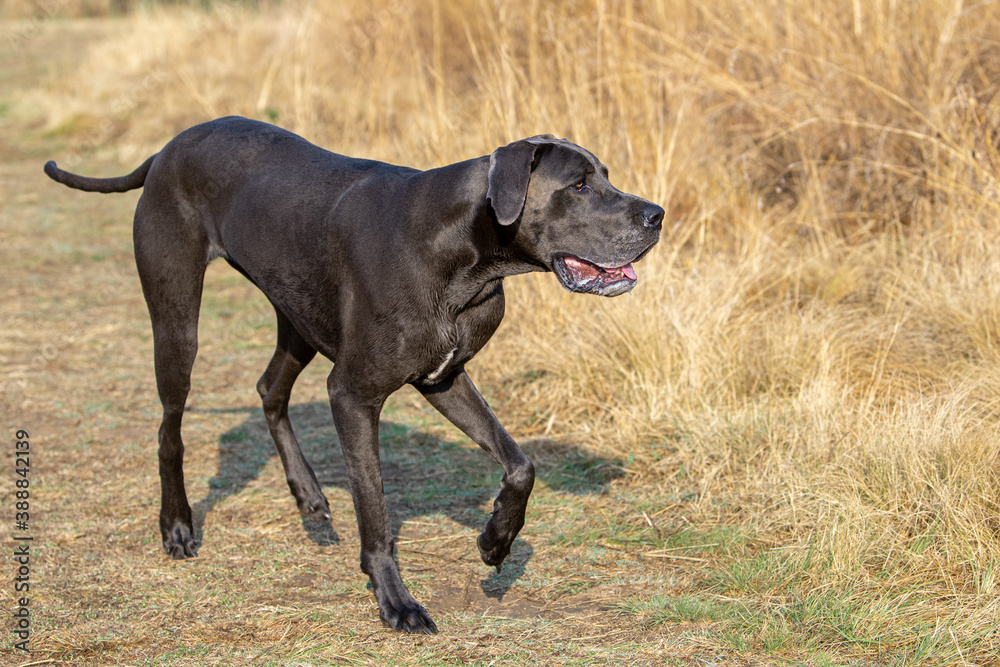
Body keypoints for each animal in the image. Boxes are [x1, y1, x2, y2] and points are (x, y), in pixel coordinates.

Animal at [45, 117, 664, 636]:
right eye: (578, 186)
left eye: (606, 176)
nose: (657, 214)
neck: (462, 250)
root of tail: (165, 150)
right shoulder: (353, 395)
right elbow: (376, 510)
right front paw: (397, 602)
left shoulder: (444, 378)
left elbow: (520, 464)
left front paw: (496, 541)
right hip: (178, 321)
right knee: (169, 427)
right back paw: (177, 524)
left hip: (297, 319)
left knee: (269, 389)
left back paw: (309, 495)